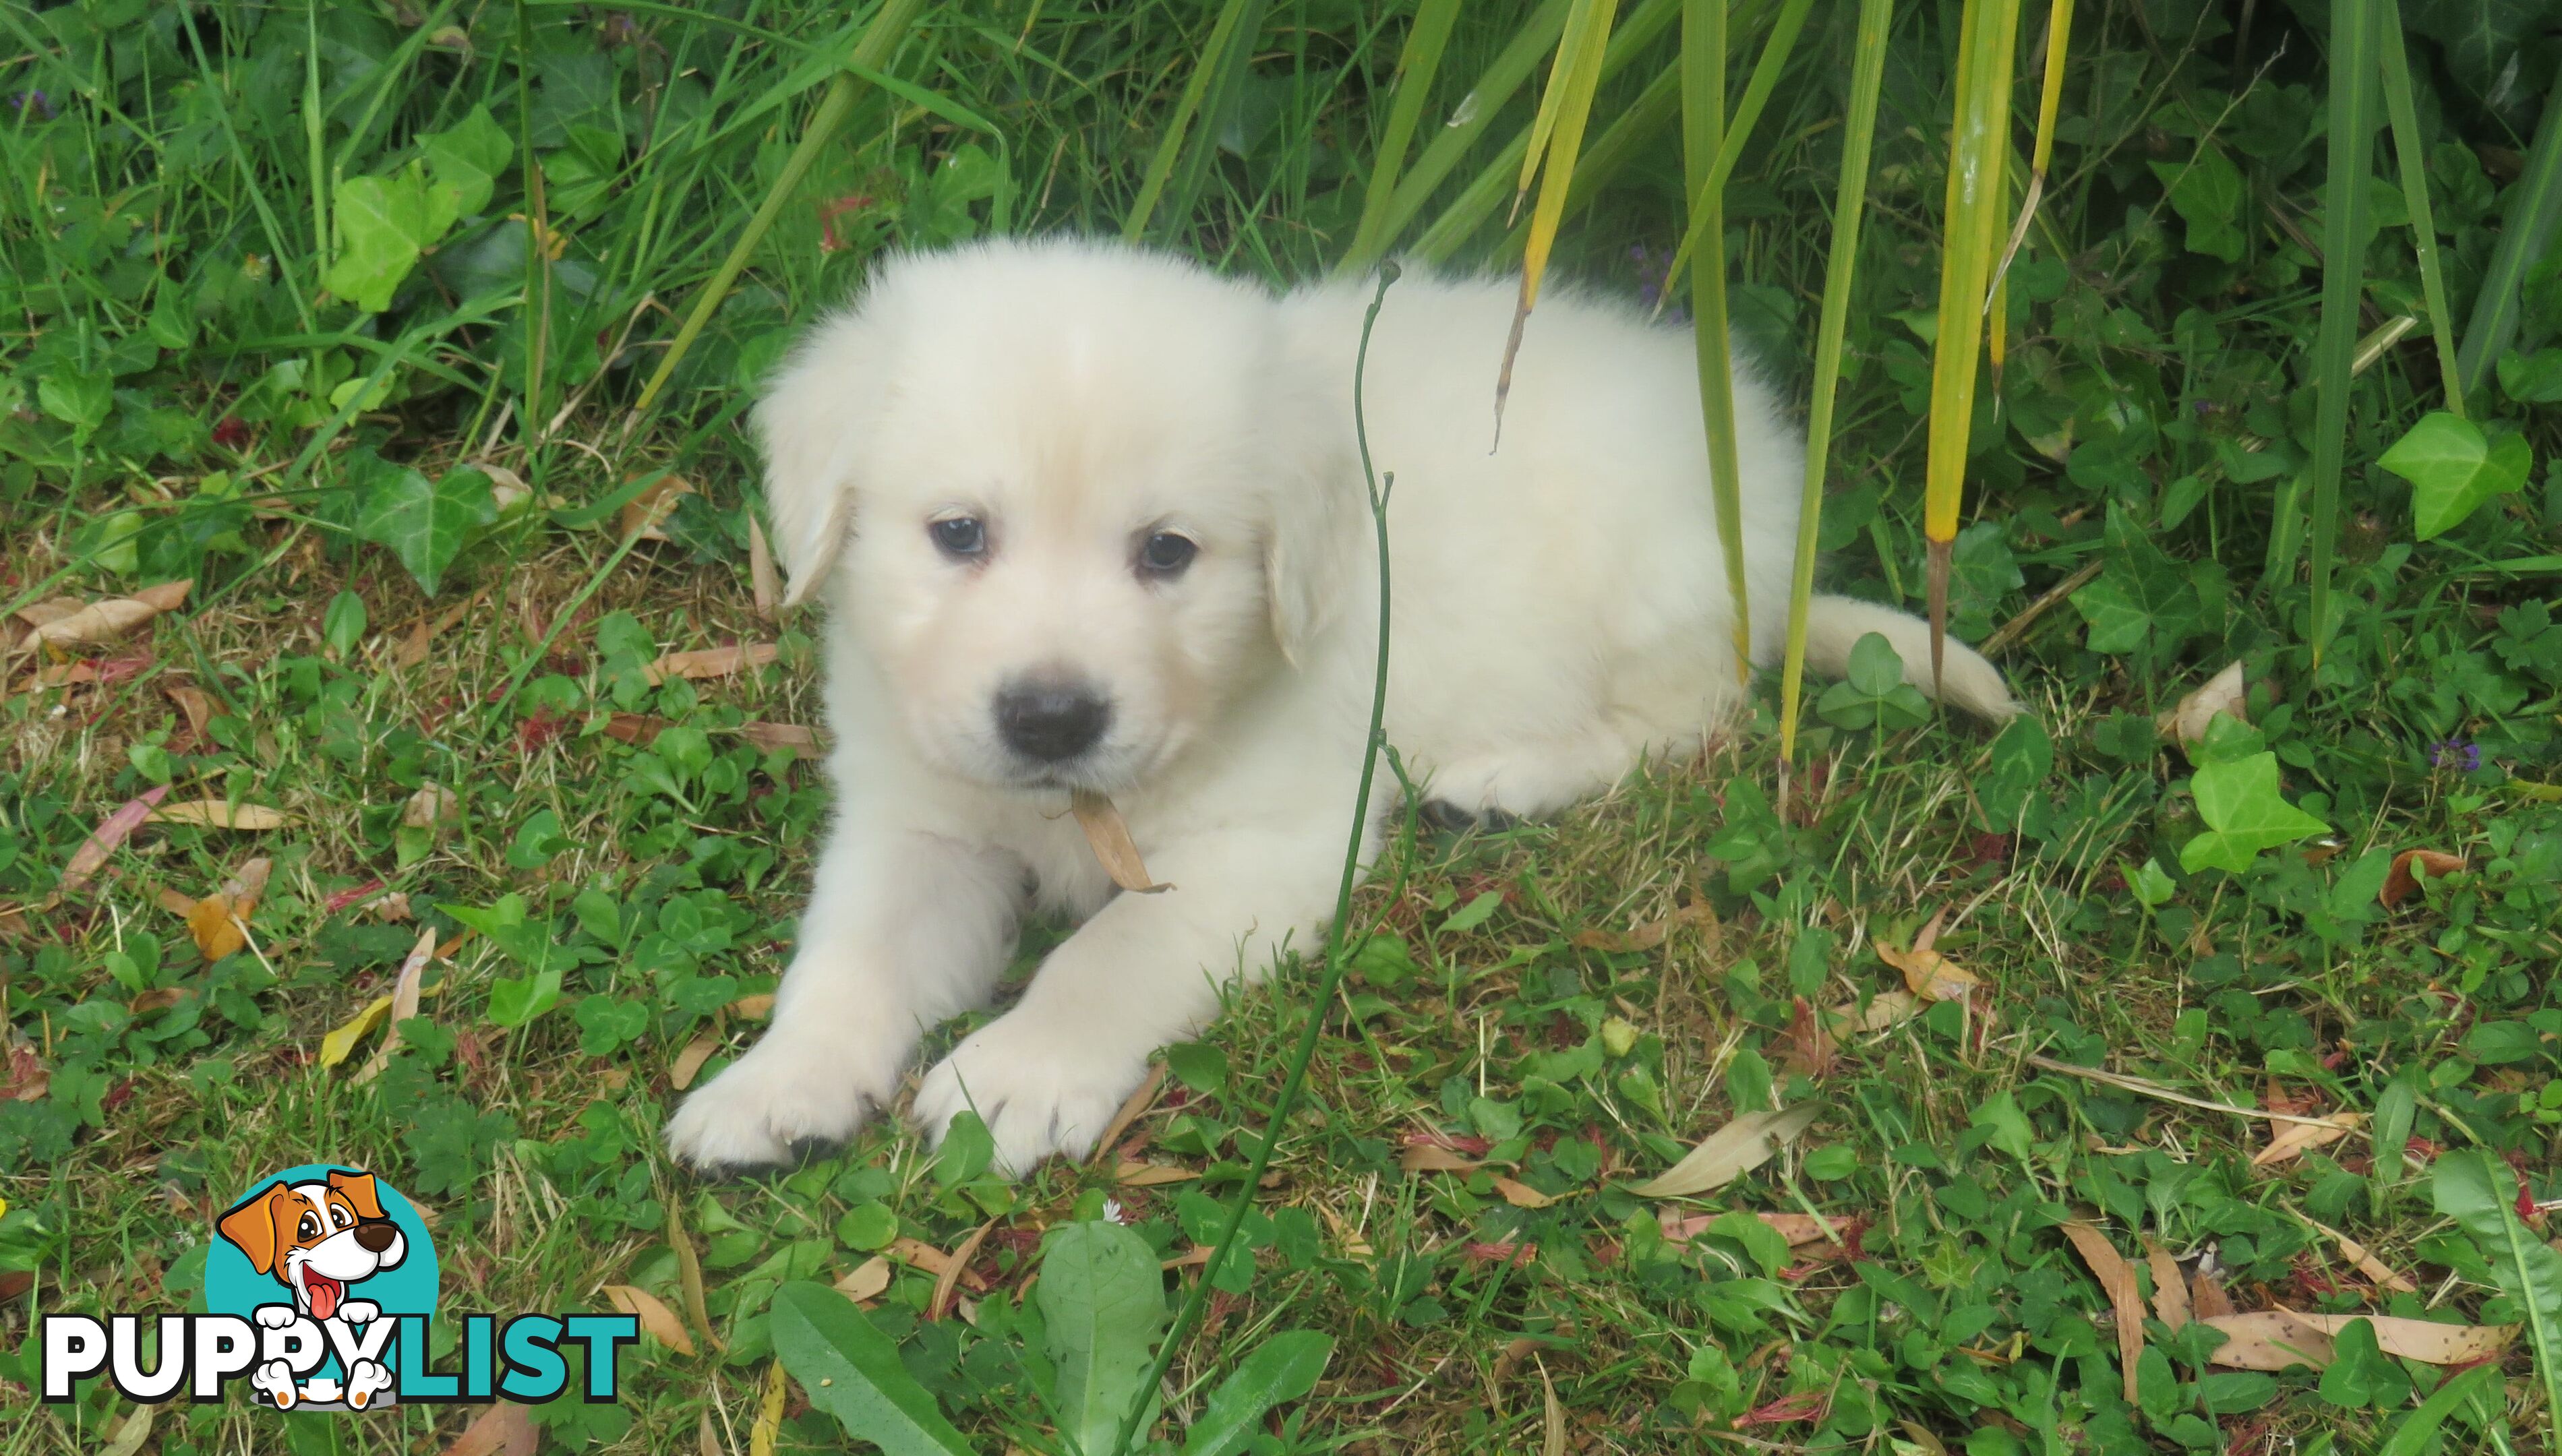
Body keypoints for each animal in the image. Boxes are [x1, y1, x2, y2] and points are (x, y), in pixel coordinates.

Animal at [666, 235, 2019, 1174]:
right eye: (957, 534)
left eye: (1169, 553)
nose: (1051, 721)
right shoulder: (919, 818)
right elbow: (852, 952)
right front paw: (774, 1085)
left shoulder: (1274, 843)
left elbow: (1112, 954)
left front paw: (1014, 1076)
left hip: (1658, 589)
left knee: (1695, 717)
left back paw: (1501, 780)